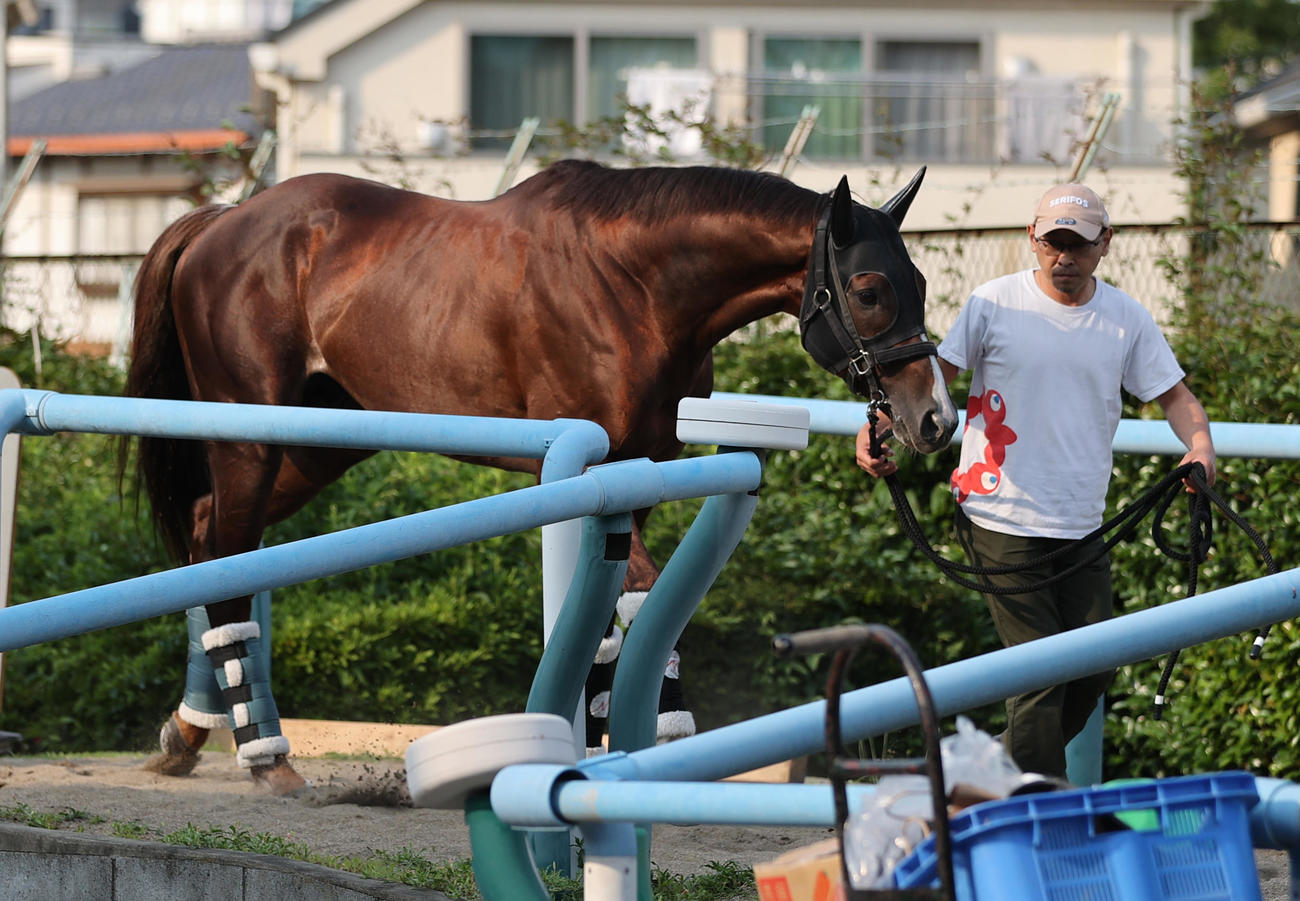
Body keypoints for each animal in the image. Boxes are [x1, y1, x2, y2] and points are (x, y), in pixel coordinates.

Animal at [122, 159, 958, 795]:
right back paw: (264, 756)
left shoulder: (636, 477)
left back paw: (191, 734)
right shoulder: (594, 469)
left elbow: (609, 622)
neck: (636, 285)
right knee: (228, 562)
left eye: (917, 282)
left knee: (208, 538)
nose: (934, 419)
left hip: (313, 447)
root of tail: (225, 222)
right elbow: (640, 602)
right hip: (249, 441)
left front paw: (602, 742)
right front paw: (666, 734)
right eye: (869, 290)